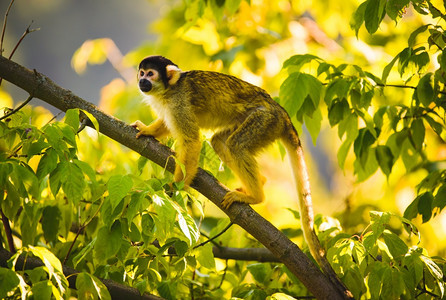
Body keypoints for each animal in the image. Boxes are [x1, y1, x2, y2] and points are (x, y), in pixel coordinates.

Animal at [131, 54, 330, 272]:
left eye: (151, 74)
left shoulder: (179, 102)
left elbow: (191, 140)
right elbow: (169, 125)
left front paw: (176, 188)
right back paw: (259, 182)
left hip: (266, 120)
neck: (168, 90)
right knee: (220, 142)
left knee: (236, 145)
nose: (142, 81)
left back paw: (255, 196)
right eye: (142, 73)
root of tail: (282, 113)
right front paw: (148, 130)